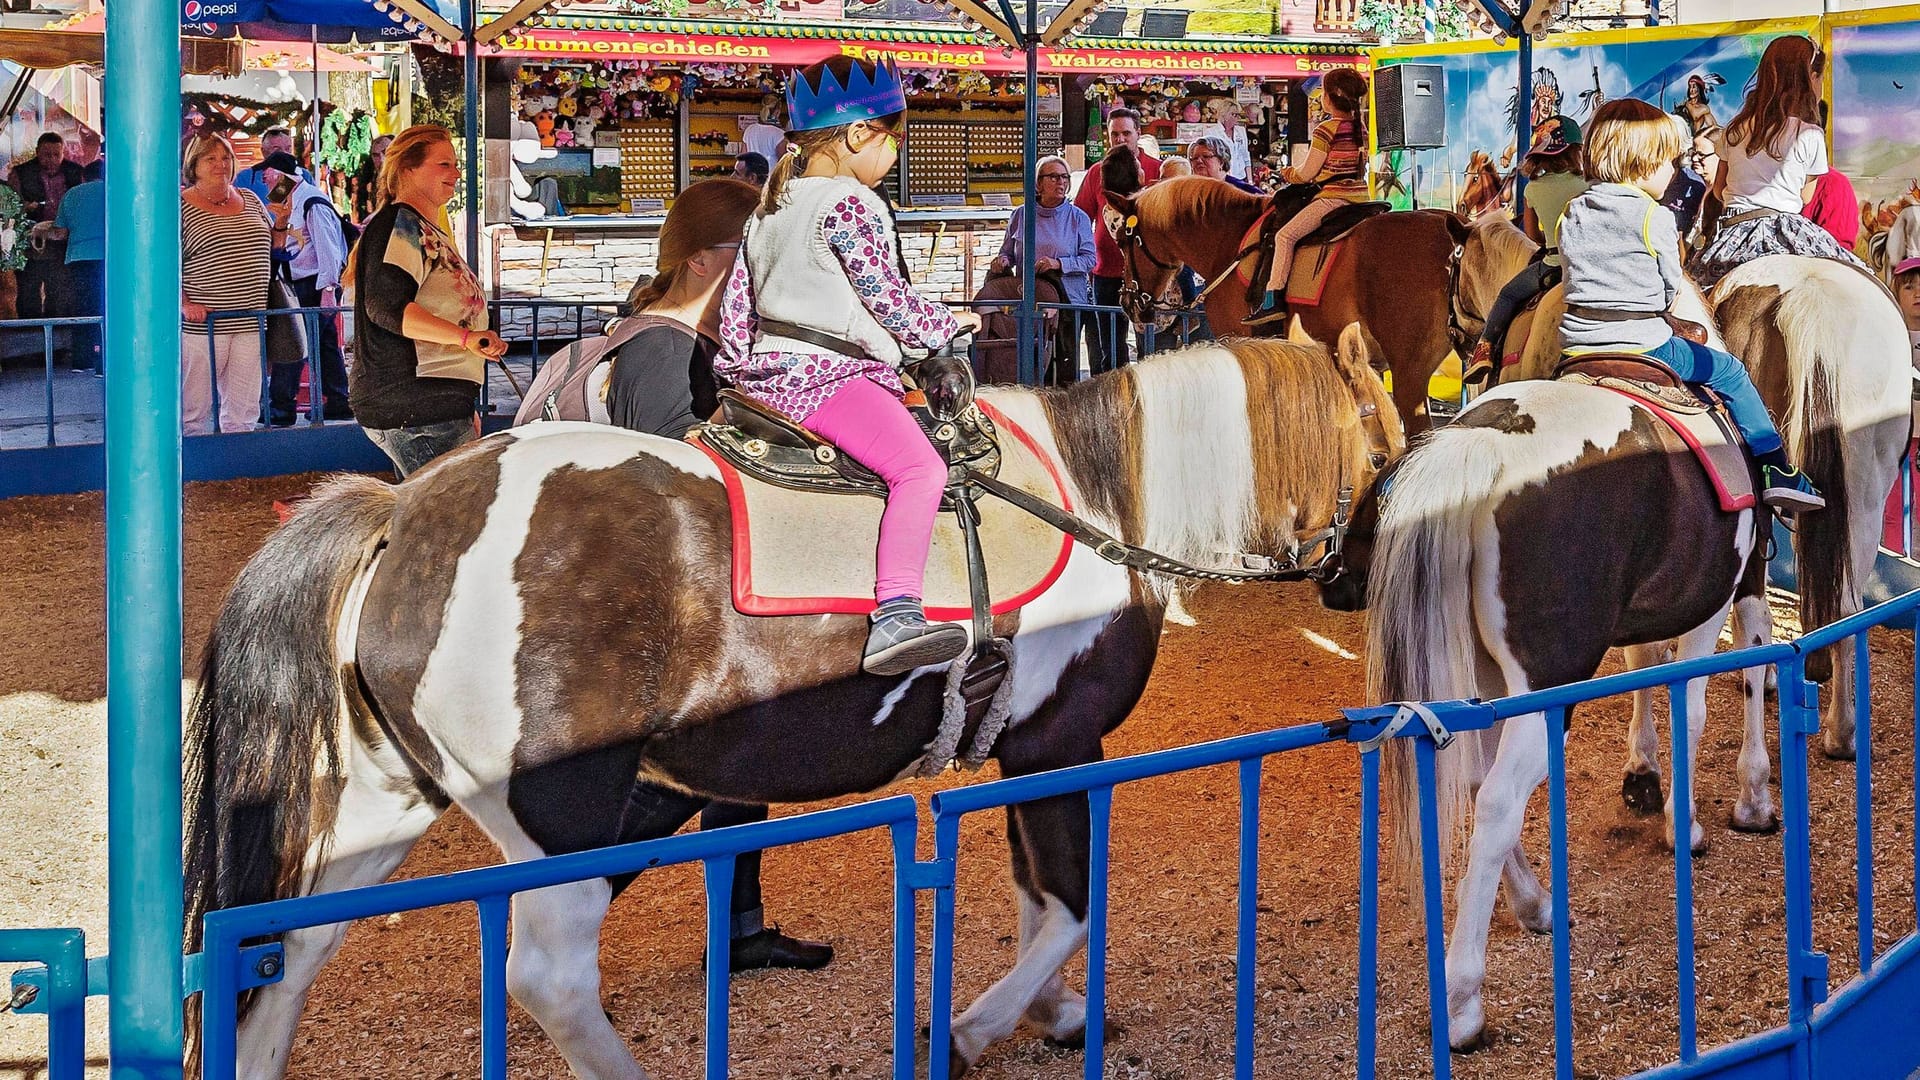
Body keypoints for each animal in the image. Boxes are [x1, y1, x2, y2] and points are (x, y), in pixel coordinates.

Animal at [187, 332, 1405, 1068]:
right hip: (558, 814)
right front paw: (972, 1028)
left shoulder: (1022, 752)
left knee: (287, 950)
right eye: (1388, 452)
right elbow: (1067, 906)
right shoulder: (1062, 741)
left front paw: (1053, 1016)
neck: (1102, 495)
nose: (1351, 584)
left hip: (387, 799)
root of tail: (403, 514)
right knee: (547, 975)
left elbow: (1034, 899)